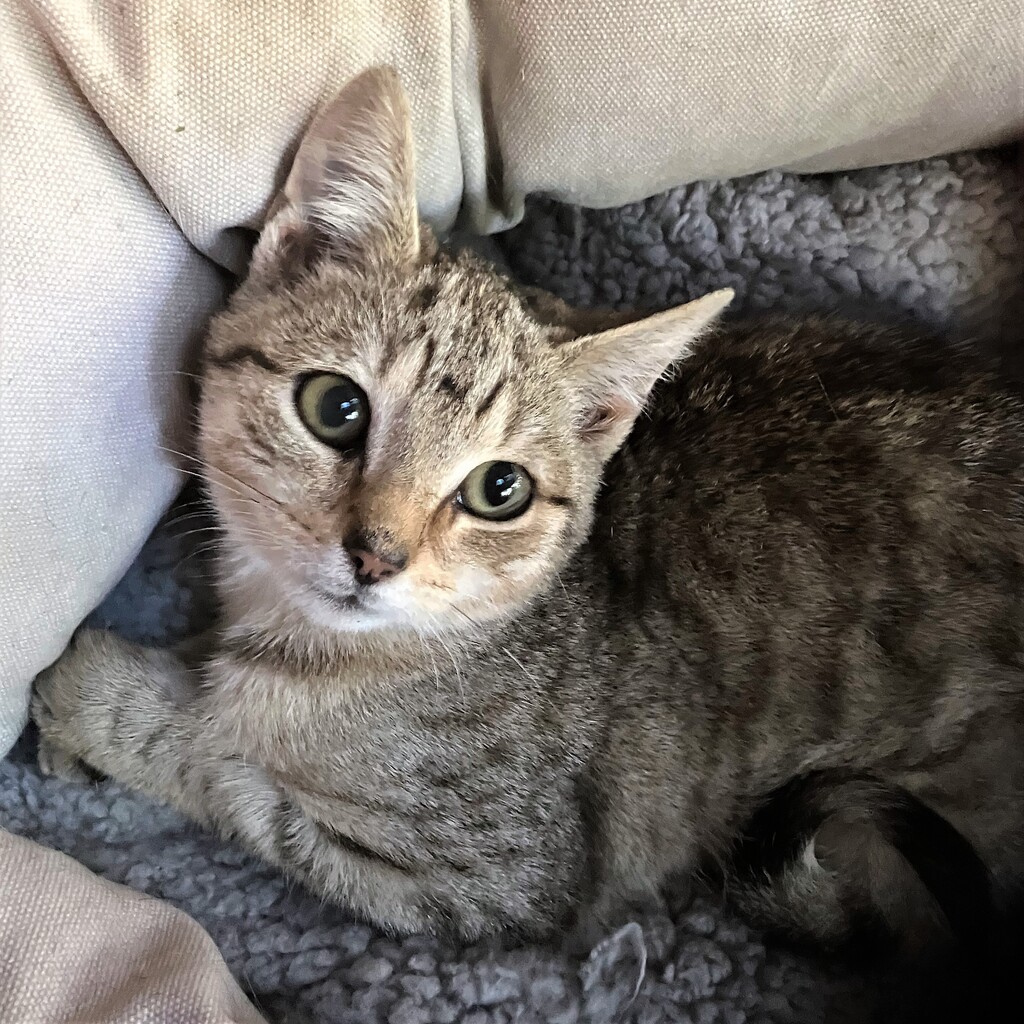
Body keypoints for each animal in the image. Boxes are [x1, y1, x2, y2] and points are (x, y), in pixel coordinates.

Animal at [33, 66, 1024, 1009]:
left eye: (498, 490)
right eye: (336, 407)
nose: (375, 554)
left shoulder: (496, 882)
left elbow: (233, 774)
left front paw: (102, 697)